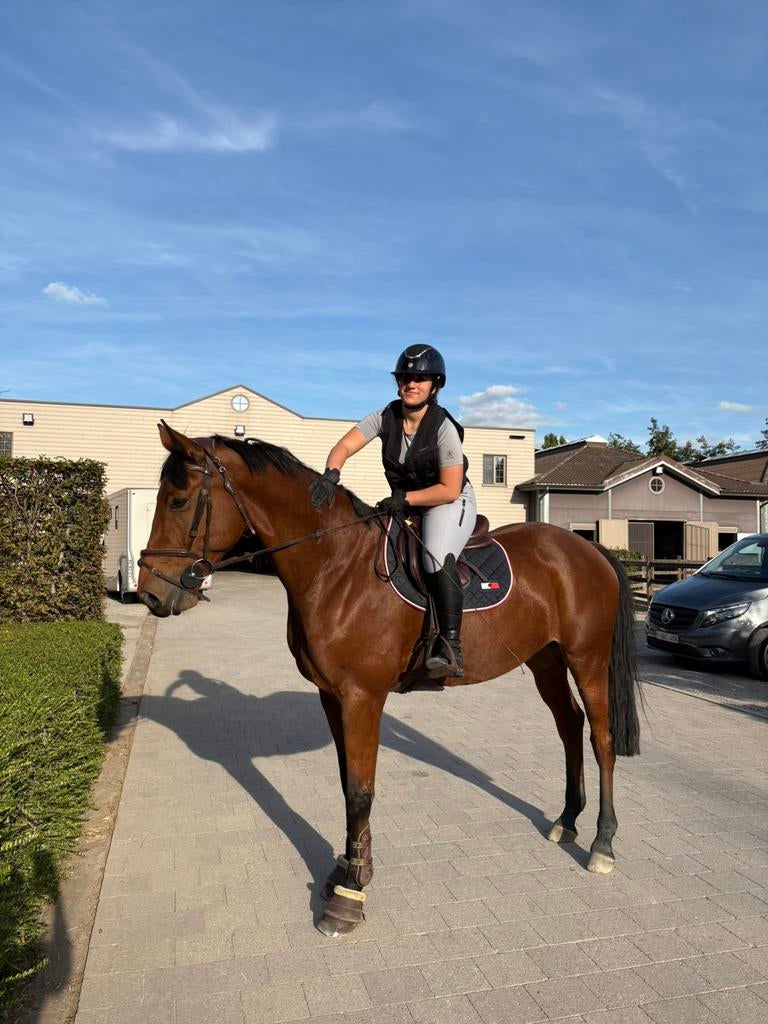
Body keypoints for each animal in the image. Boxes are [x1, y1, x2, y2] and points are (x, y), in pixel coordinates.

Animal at [137, 421, 641, 937]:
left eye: (178, 500)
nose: (150, 593)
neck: (336, 565)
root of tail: (587, 548)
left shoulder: (362, 697)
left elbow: (361, 791)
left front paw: (349, 896)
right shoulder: (331, 696)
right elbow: (347, 784)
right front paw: (348, 868)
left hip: (587, 658)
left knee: (600, 738)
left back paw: (602, 843)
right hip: (546, 661)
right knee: (570, 727)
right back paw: (567, 819)